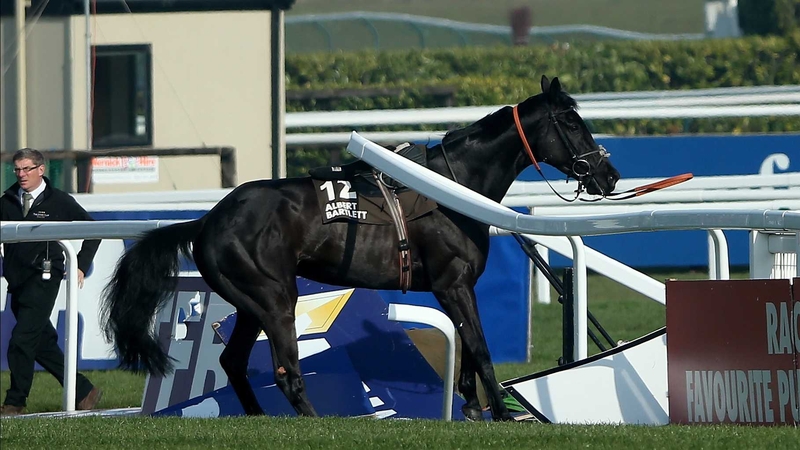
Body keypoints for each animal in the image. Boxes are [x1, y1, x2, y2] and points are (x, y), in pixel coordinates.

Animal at [100, 75, 620, 422]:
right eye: (571, 122)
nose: (609, 175)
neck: (450, 188)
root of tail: (208, 219)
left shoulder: (456, 287)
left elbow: (471, 348)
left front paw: (473, 407)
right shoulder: (454, 283)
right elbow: (479, 346)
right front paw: (503, 414)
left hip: (249, 302)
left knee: (233, 361)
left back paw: (259, 418)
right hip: (275, 298)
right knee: (285, 369)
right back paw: (312, 420)